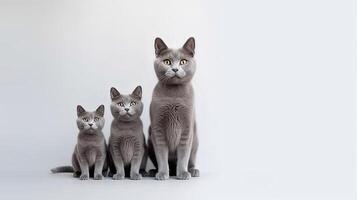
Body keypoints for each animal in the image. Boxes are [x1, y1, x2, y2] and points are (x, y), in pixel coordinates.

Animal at [146, 36, 199, 180]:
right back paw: (154, 171)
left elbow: (184, 155)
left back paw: (193, 170)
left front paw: (183, 173)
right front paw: (163, 173)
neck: (174, 97)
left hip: (196, 139)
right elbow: (161, 155)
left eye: (183, 61)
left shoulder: (187, 128)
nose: (175, 69)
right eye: (167, 61)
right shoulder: (157, 128)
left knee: (191, 159)